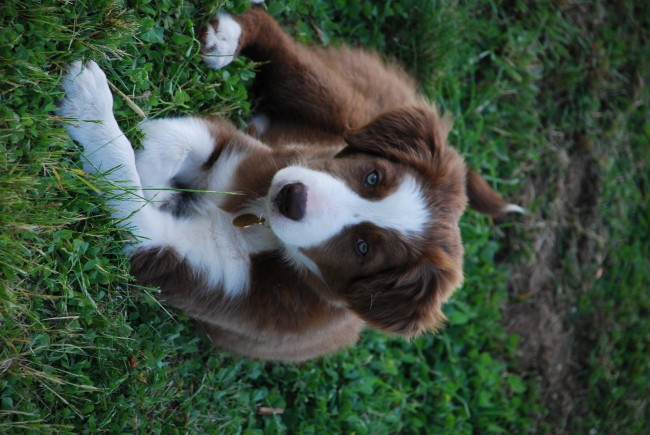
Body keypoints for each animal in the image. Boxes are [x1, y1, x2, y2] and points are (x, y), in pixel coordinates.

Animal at [59, 5, 522, 361]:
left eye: (363, 248)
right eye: (372, 176)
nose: (290, 197)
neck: (257, 223)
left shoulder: (176, 258)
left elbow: (124, 181)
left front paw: (88, 105)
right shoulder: (247, 155)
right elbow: (172, 139)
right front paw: (155, 176)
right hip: (337, 104)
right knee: (283, 47)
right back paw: (230, 37)